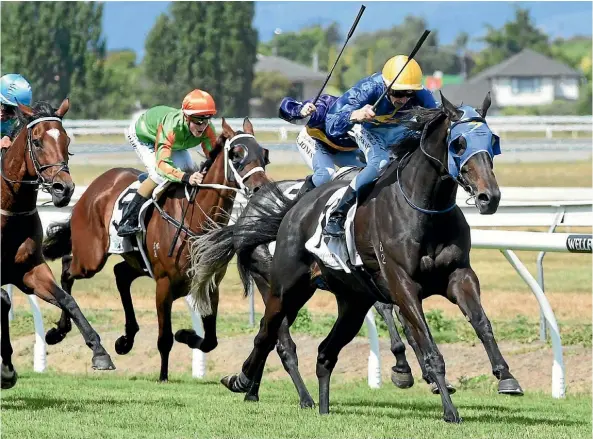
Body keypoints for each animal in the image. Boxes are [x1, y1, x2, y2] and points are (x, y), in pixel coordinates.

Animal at [0, 99, 115, 388]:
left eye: (67, 140)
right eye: (37, 141)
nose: (64, 189)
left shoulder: (29, 270)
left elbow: (67, 299)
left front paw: (99, 352)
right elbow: (4, 300)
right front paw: (6, 368)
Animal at [42, 118, 270, 384]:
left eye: (264, 154)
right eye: (236, 154)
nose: (260, 188)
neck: (194, 219)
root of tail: (95, 186)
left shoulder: (209, 282)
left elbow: (210, 341)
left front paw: (186, 335)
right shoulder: (163, 284)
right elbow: (165, 338)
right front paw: (163, 376)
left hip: (136, 261)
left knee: (120, 274)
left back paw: (125, 340)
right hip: (91, 258)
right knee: (67, 269)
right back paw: (58, 332)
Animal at [219, 92, 524, 422]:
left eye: (493, 140)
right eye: (459, 143)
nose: (489, 197)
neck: (424, 209)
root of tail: (290, 210)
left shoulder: (459, 274)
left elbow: (481, 322)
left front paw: (506, 377)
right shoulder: (401, 283)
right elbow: (426, 343)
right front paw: (447, 407)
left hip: (351, 300)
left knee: (324, 351)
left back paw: (318, 405)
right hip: (285, 288)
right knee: (268, 333)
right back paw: (244, 381)